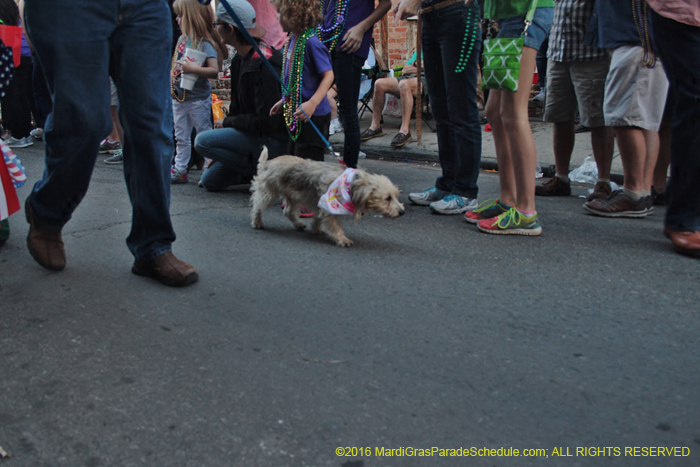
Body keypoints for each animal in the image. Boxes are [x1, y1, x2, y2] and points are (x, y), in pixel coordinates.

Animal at [250, 147, 404, 249]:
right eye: (388, 198)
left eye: (396, 196)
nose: (402, 212)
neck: (352, 184)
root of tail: (267, 163)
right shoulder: (329, 207)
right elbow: (334, 225)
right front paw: (342, 238)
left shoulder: (320, 204)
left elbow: (318, 218)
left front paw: (316, 228)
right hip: (268, 193)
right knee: (257, 206)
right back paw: (257, 222)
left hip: (292, 195)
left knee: (288, 211)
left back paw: (298, 224)